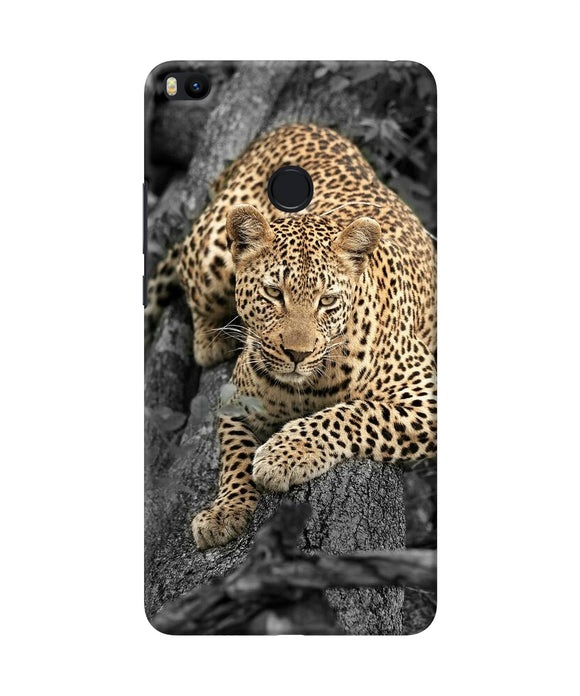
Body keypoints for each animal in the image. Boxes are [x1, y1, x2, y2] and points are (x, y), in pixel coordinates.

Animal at [147, 123, 437, 550]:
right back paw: (212, 340)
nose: (297, 354)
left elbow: (354, 413)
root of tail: (295, 125)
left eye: (326, 300)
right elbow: (234, 455)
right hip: (212, 251)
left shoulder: (425, 399)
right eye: (273, 293)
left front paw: (283, 455)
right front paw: (225, 511)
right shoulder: (235, 400)